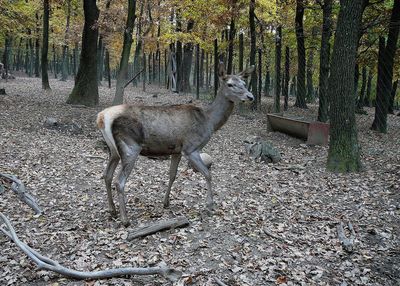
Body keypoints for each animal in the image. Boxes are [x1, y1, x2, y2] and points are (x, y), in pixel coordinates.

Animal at [96, 63, 253, 227]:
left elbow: (172, 175)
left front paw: (166, 202)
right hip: (130, 147)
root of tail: (102, 117)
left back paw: (112, 210)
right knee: (119, 181)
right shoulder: (191, 148)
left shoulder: (177, 150)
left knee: (106, 175)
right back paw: (125, 219)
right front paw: (209, 205)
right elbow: (208, 173)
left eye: (244, 83)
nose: (250, 96)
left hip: (113, 150)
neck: (209, 122)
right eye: (230, 84)